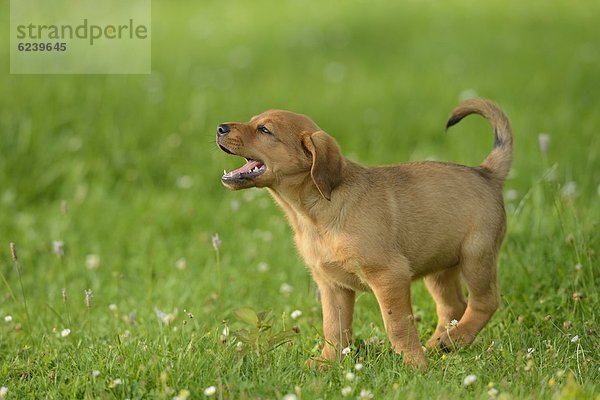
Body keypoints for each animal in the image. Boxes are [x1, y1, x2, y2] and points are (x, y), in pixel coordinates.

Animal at [216, 99, 510, 368]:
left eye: (264, 129)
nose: (220, 127)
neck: (312, 215)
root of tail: (486, 173)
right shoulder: (332, 285)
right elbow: (334, 329)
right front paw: (327, 363)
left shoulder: (389, 275)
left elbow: (397, 326)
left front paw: (414, 364)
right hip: (439, 266)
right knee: (453, 306)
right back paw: (441, 343)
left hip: (476, 255)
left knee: (485, 301)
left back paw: (453, 339)